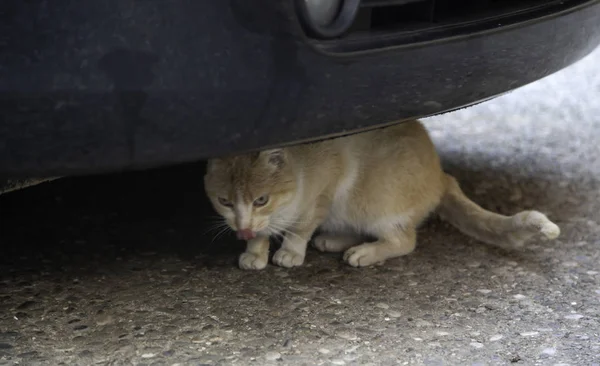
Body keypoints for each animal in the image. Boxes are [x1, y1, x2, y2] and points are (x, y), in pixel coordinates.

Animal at [204, 120, 560, 268]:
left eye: (261, 199)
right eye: (224, 201)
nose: (241, 227)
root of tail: (442, 176)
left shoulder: (324, 192)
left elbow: (300, 229)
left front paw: (289, 252)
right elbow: (262, 234)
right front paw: (254, 251)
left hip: (372, 203)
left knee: (404, 240)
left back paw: (364, 252)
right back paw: (335, 240)